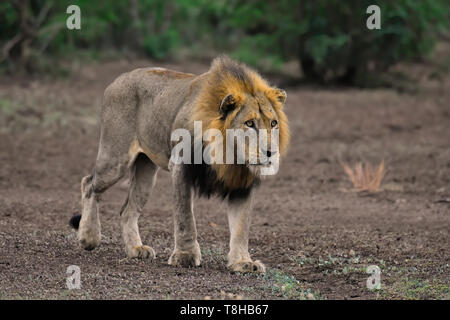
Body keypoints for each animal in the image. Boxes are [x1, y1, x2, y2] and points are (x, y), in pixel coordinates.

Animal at [69, 55, 290, 272]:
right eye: (249, 123)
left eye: (273, 123)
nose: (271, 152)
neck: (229, 156)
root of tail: (118, 79)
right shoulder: (181, 167)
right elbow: (185, 218)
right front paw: (185, 256)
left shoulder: (242, 184)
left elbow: (241, 227)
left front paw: (243, 262)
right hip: (116, 159)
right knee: (88, 183)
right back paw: (88, 238)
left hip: (145, 172)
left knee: (127, 210)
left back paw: (136, 249)